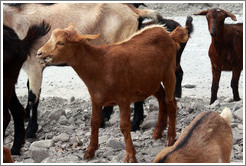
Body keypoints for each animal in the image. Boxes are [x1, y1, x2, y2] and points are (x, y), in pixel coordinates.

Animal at [36, 23, 188, 162]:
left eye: (61, 43)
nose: (39, 53)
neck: (100, 66)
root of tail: (168, 35)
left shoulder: (123, 98)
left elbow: (124, 126)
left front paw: (130, 156)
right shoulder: (96, 99)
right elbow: (94, 122)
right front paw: (90, 151)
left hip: (169, 73)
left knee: (171, 102)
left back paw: (170, 138)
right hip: (150, 81)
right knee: (162, 99)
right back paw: (157, 132)